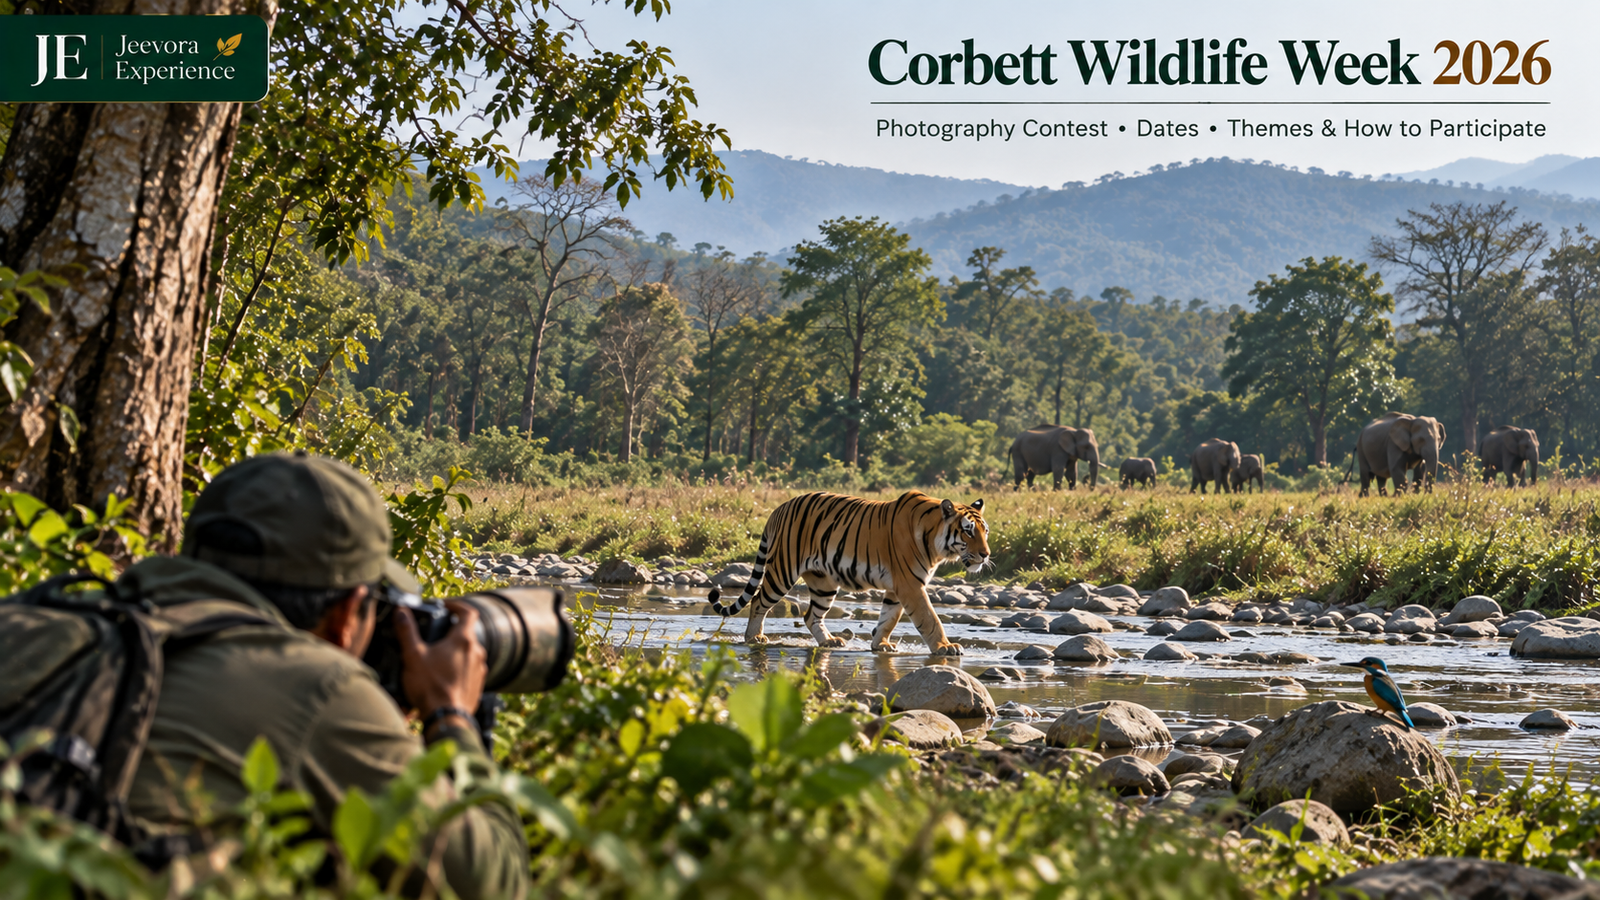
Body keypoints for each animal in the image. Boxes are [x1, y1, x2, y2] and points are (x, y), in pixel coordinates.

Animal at [706, 490, 991, 656]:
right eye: (968, 531)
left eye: (985, 531)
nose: (986, 554)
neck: (935, 540)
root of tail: (779, 508)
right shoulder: (910, 584)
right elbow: (929, 618)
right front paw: (945, 647)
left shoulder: (897, 587)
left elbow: (888, 618)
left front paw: (880, 645)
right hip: (782, 572)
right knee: (757, 601)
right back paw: (754, 638)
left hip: (824, 583)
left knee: (811, 615)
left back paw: (829, 641)